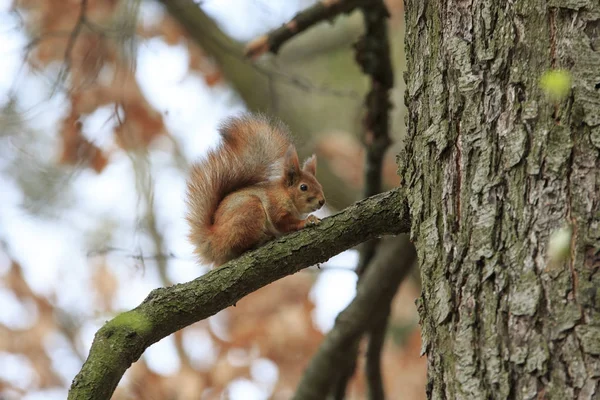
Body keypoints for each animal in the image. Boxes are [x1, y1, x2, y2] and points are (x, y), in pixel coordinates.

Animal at [188, 114, 326, 268]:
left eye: (320, 185)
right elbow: (283, 222)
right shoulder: (275, 206)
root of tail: (212, 241)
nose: (322, 201)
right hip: (249, 210)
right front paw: (307, 221)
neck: (285, 194)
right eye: (303, 187)